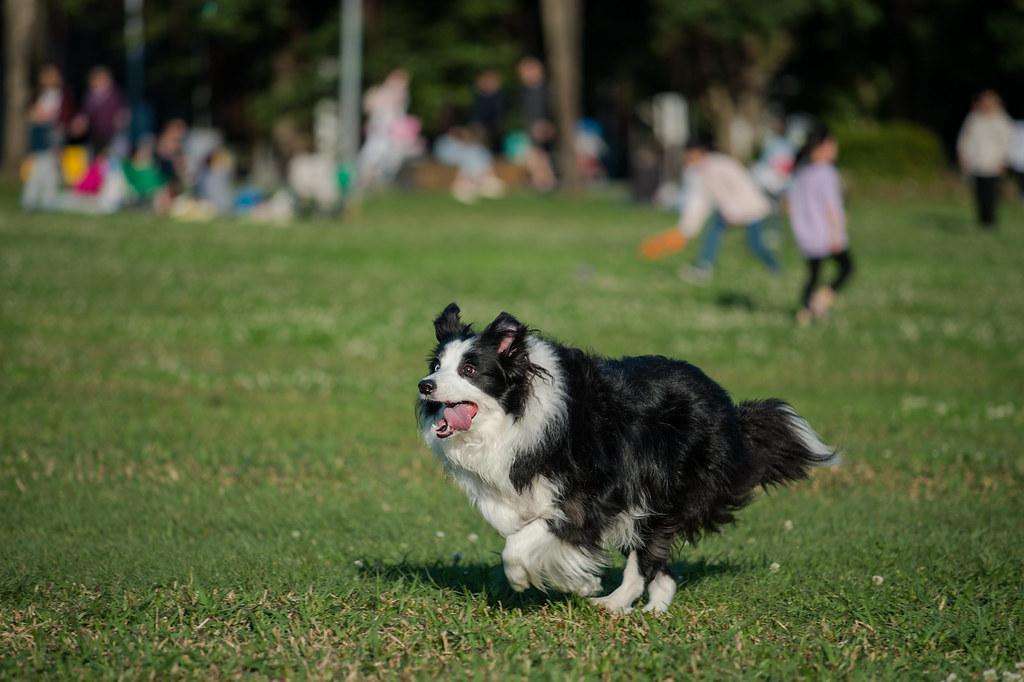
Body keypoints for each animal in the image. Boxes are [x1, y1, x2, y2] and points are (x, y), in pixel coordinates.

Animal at [419, 303, 835, 610]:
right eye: (437, 366)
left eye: (470, 369)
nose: (425, 386)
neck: (513, 413)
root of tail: (730, 409)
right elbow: (526, 534)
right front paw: (578, 581)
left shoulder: (589, 494)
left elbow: (523, 542)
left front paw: (540, 579)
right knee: (656, 560)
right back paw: (639, 606)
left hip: (667, 484)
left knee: (648, 549)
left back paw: (619, 603)